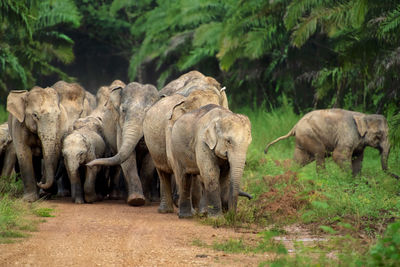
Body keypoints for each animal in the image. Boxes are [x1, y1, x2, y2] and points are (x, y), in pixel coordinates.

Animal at [143, 76, 231, 215]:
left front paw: (203, 212)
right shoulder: (173, 128)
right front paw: (196, 212)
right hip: (152, 147)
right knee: (163, 172)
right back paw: (166, 210)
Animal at [266, 108, 394, 177]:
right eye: (379, 134)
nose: (396, 176)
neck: (363, 116)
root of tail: (295, 126)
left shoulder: (359, 143)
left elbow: (358, 158)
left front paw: (356, 179)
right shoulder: (347, 135)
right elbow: (338, 155)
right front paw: (348, 177)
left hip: (302, 139)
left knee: (301, 160)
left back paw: (288, 172)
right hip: (309, 135)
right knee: (319, 152)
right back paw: (325, 178)